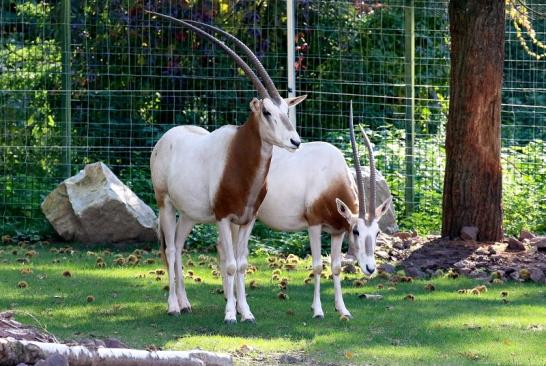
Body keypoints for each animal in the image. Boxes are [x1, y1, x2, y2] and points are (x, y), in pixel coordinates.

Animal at [147, 12, 304, 324]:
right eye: (266, 112)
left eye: (285, 110)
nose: (295, 141)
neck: (238, 158)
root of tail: (166, 138)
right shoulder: (222, 216)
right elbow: (230, 264)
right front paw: (231, 314)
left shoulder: (246, 219)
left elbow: (241, 263)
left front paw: (246, 312)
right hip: (165, 203)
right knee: (170, 249)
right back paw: (173, 306)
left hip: (190, 214)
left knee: (179, 247)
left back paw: (186, 303)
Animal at [223, 101, 388, 318]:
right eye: (356, 231)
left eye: (377, 233)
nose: (370, 268)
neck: (330, 176)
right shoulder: (314, 225)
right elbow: (318, 266)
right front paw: (317, 310)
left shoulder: (337, 231)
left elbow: (336, 267)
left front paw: (342, 309)